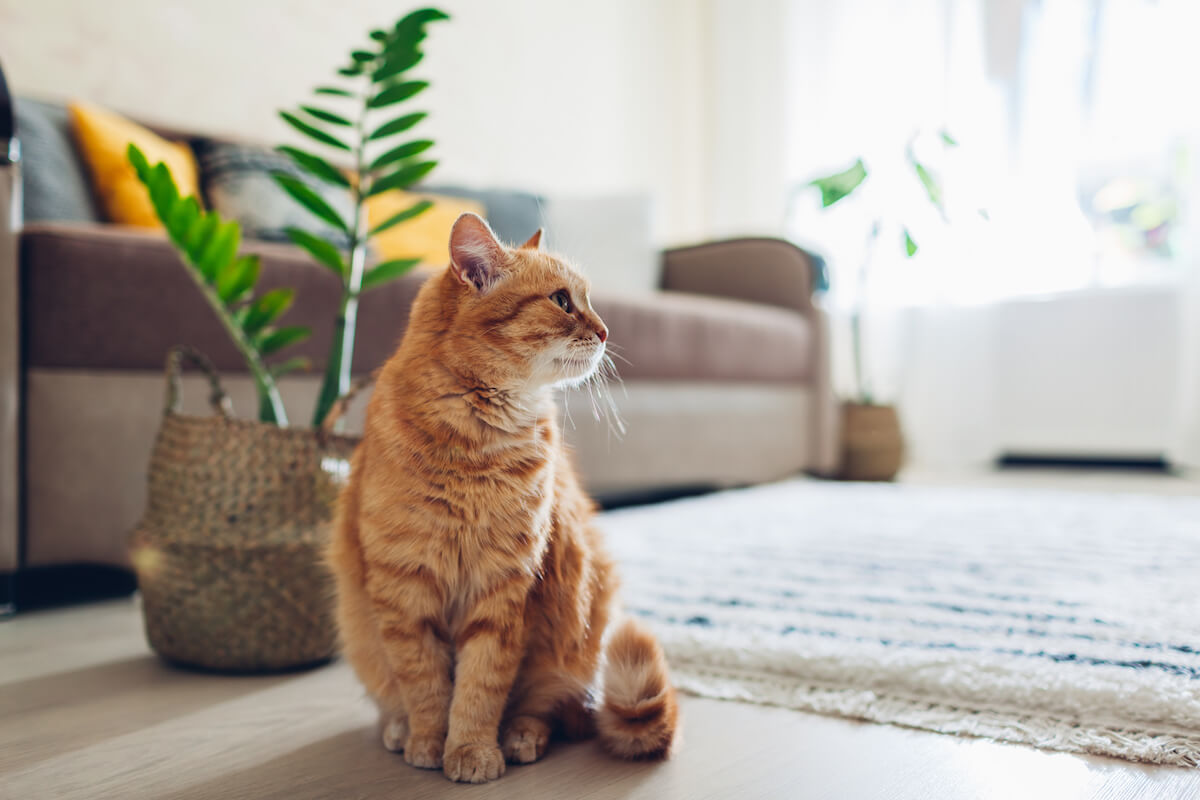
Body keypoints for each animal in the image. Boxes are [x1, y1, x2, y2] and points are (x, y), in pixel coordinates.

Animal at [328, 211, 681, 782]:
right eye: (562, 301)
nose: (607, 331)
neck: (475, 447)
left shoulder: (505, 588)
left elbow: (479, 686)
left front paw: (471, 750)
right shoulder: (405, 591)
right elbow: (425, 685)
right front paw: (429, 741)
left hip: (579, 626)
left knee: (549, 708)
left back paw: (520, 736)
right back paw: (399, 729)